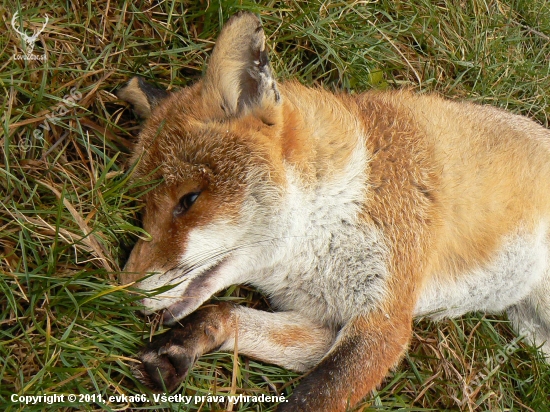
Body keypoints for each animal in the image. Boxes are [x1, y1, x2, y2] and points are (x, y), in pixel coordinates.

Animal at [118, 11, 550, 410]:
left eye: (189, 200)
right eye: (142, 210)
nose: (123, 293)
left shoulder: (386, 319)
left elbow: (313, 397)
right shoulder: (322, 323)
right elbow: (228, 313)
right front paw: (185, 344)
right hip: (533, 333)